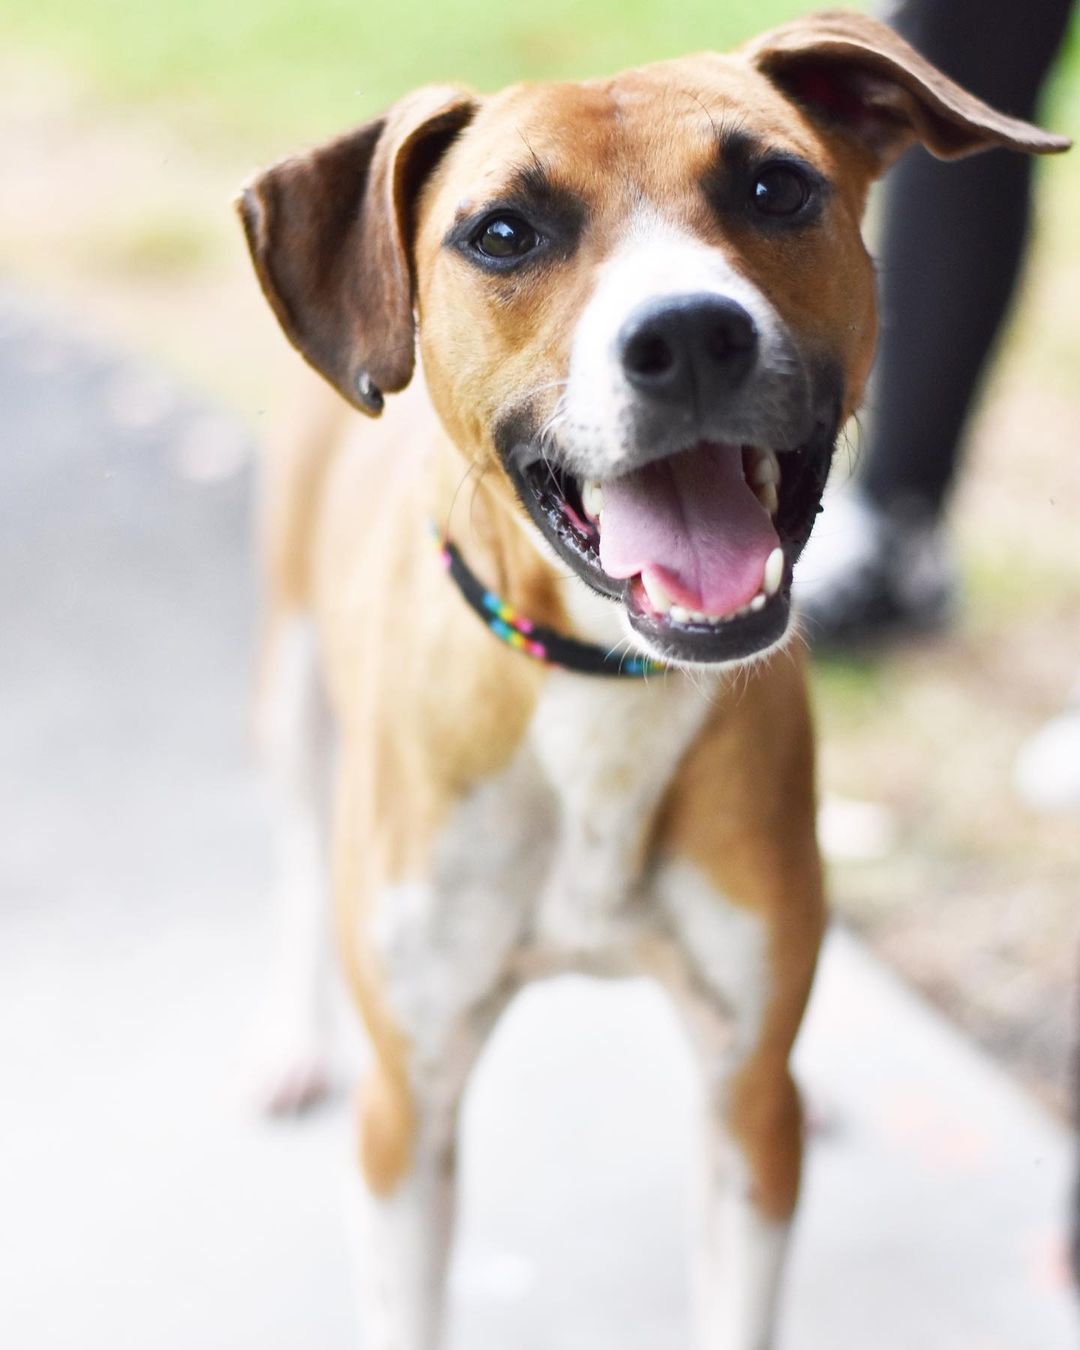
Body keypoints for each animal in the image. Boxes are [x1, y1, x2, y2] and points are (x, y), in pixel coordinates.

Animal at [238, 13, 1069, 1350]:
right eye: (503, 233)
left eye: (776, 187)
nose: (687, 336)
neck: (601, 688)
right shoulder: (408, 1115)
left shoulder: (747, 1115)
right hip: (291, 694)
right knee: (300, 859)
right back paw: (290, 1042)